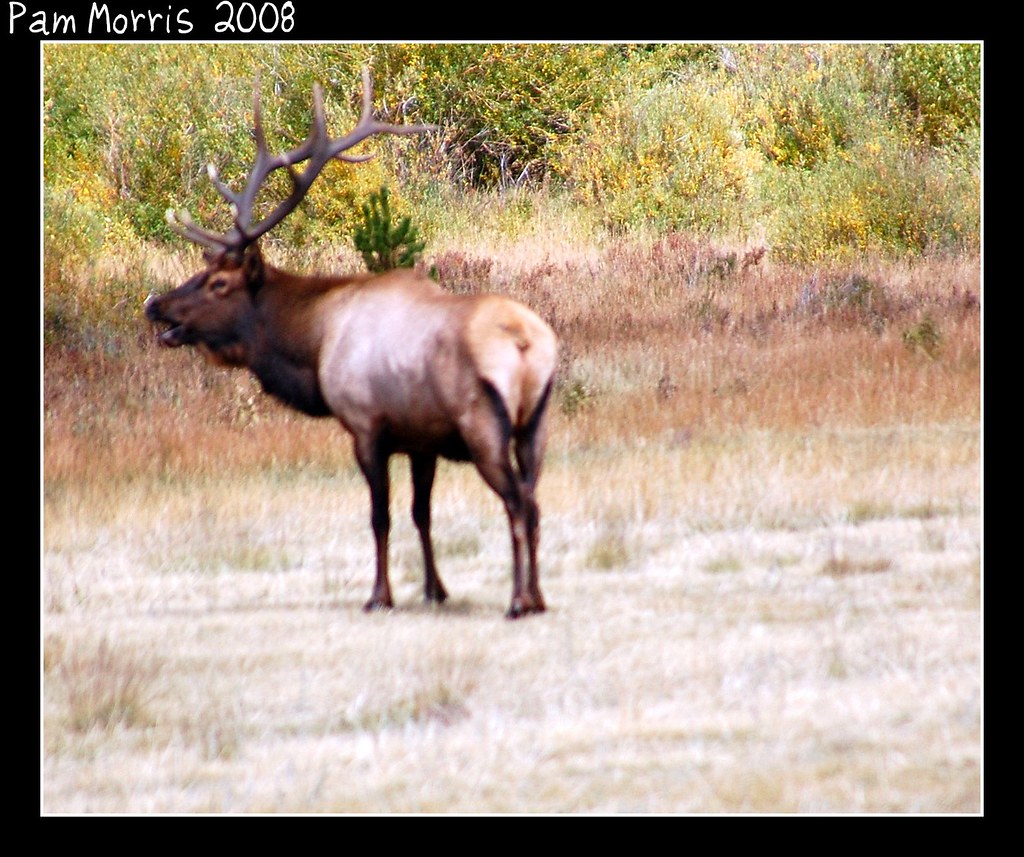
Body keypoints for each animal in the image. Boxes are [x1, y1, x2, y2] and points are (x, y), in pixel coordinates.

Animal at [144, 69, 557, 618]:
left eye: (218, 283)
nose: (156, 306)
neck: (314, 347)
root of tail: (528, 344)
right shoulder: (420, 438)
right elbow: (422, 513)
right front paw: (434, 589)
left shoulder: (365, 426)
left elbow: (380, 516)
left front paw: (379, 596)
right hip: (536, 422)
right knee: (535, 499)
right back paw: (538, 596)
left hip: (483, 422)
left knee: (516, 502)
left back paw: (517, 601)